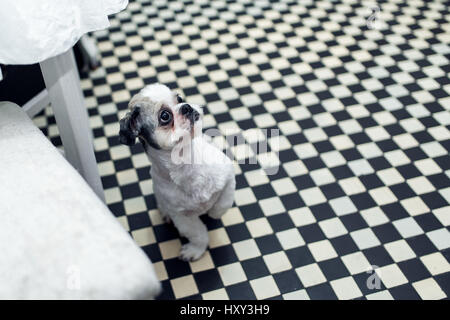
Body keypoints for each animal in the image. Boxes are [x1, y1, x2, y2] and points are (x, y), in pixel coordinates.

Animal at [118, 84, 236, 262]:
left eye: (179, 99)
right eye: (165, 116)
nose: (186, 107)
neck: (186, 163)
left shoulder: (228, 177)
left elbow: (223, 204)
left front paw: (214, 212)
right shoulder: (182, 217)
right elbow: (197, 233)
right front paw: (196, 249)